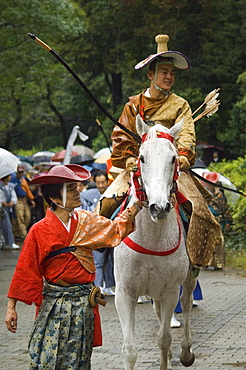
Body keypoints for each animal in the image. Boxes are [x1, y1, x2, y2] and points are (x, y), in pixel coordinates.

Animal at [114, 115, 197, 370]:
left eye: (173, 158)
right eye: (142, 157)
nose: (159, 207)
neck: (151, 238)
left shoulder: (170, 289)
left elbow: (164, 337)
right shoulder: (125, 291)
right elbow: (129, 350)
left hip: (188, 277)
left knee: (187, 302)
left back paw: (186, 352)